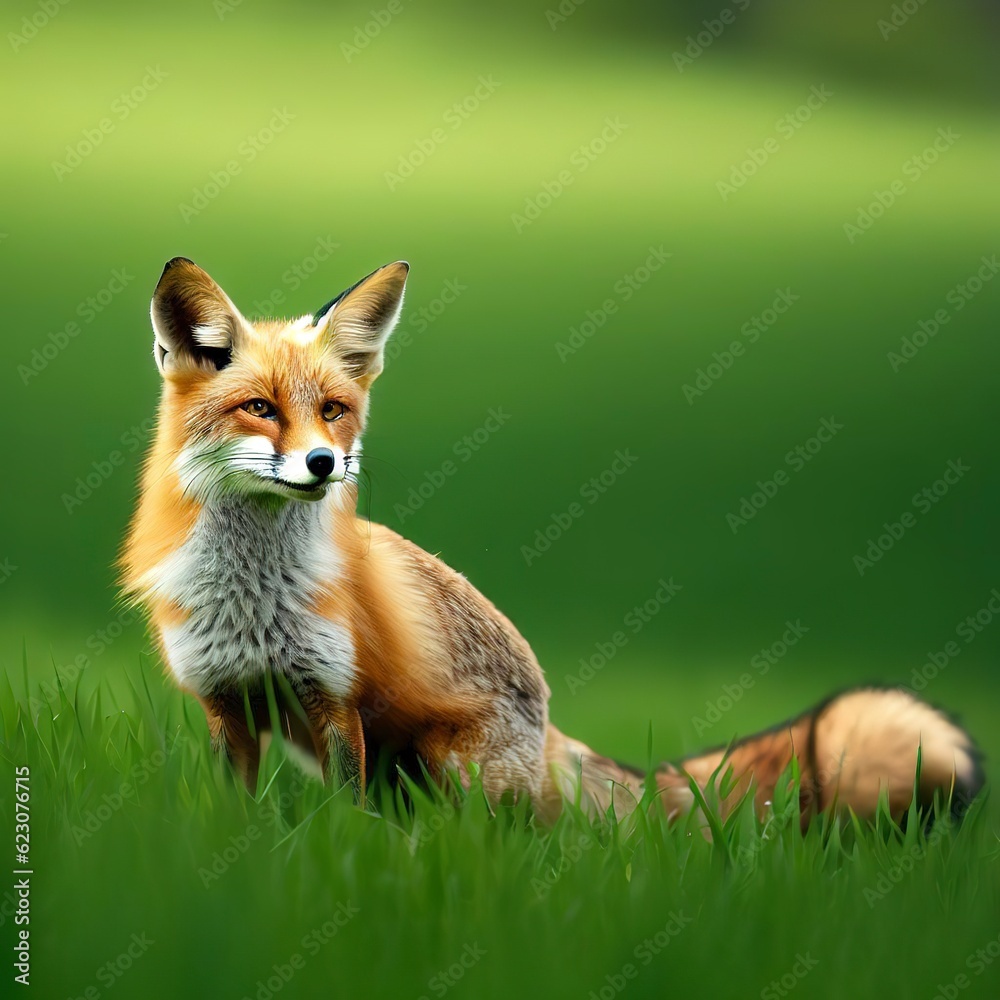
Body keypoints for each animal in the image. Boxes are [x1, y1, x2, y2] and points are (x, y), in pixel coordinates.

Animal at [122, 256, 983, 825]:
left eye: (332, 410)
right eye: (261, 409)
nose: (323, 464)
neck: (254, 599)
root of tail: (549, 725)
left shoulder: (336, 704)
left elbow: (342, 824)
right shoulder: (226, 705)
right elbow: (237, 813)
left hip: (450, 770)